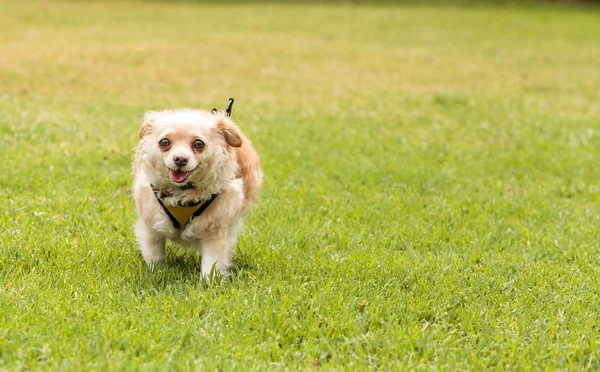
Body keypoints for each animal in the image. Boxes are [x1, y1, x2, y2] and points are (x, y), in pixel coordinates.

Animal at [132, 100, 262, 278]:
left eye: (198, 144)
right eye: (164, 142)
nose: (180, 159)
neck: (182, 192)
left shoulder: (215, 229)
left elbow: (211, 263)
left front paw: (209, 282)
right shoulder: (151, 225)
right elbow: (155, 255)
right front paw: (156, 273)